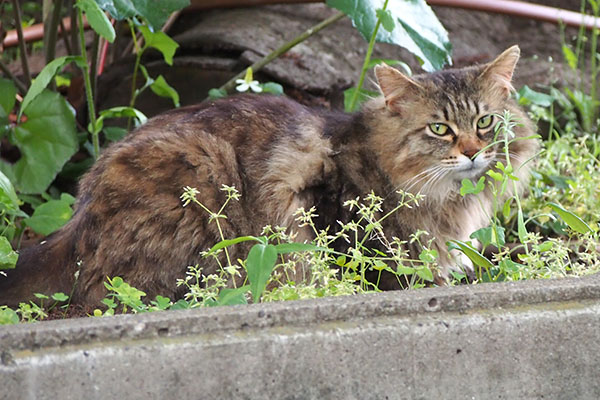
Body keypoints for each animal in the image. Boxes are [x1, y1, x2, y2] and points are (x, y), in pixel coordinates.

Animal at [0, 46, 536, 306]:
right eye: (439, 129)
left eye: (486, 122)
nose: (472, 152)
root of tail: (76, 224)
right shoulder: (333, 217)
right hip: (205, 176)